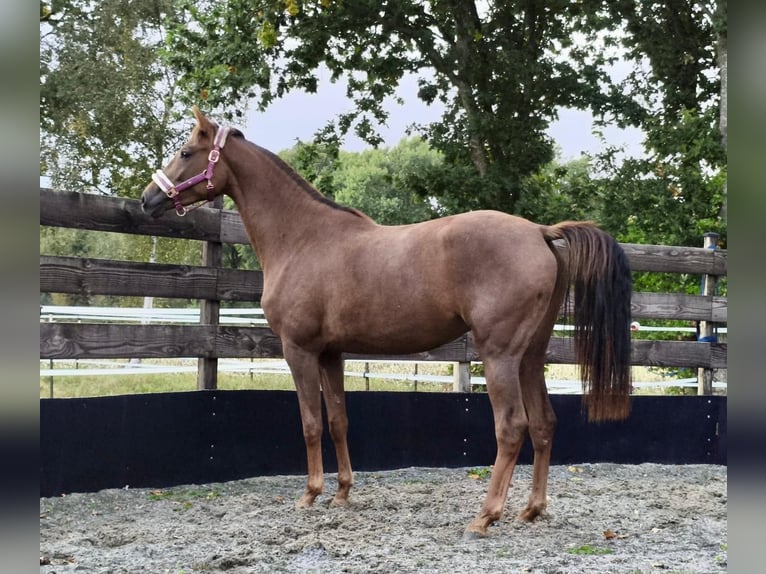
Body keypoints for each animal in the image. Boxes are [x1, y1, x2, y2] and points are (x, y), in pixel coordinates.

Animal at [141, 106, 633, 538]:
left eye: (186, 151)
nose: (148, 199)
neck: (302, 238)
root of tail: (539, 232)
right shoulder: (331, 354)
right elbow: (338, 419)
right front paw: (342, 493)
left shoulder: (298, 350)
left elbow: (310, 422)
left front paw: (310, 494)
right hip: (530, 356)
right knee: (545, 423)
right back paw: (531, 509)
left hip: (500, 356)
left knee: (512, 427)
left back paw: (484, 516)